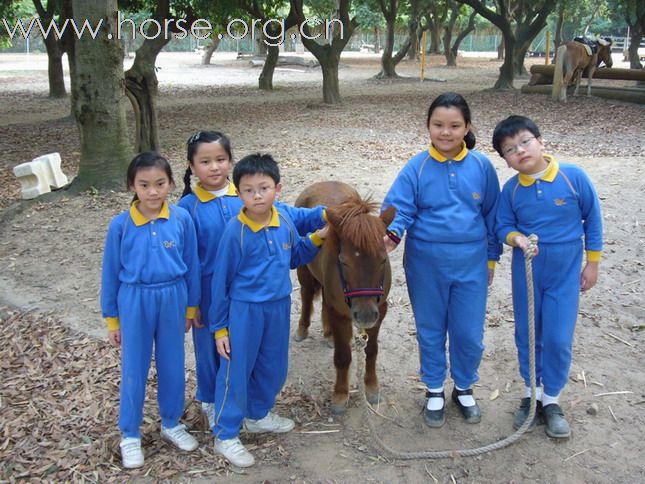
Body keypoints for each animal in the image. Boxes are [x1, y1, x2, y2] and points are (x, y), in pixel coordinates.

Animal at [294, 180, 394, 414]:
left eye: (383, 259)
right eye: (344, 261)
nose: (365, 315)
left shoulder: (380, 310)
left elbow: (372, 350)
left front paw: (371, 387)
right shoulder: (340, 314)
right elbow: (342, 357)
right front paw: (340, 395)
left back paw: (329, 334)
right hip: (304, 271)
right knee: (306, 295)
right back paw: (302, 329)